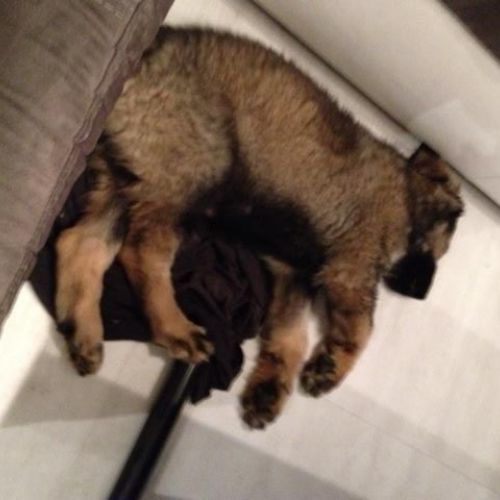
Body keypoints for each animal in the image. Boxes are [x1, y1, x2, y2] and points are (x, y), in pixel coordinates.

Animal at [55, 27, 463, 429]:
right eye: (450, 232)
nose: (421, 295)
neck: (409, 196)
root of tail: (150, 48)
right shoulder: (351, 268)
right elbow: (363, 329)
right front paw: (330, 368)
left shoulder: (293, 273)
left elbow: (291, 335)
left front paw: (269, 390)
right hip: (193, 168)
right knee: (141, 250)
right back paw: (174, 328)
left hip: (131, 176)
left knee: (80, 241)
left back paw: (83, 333)